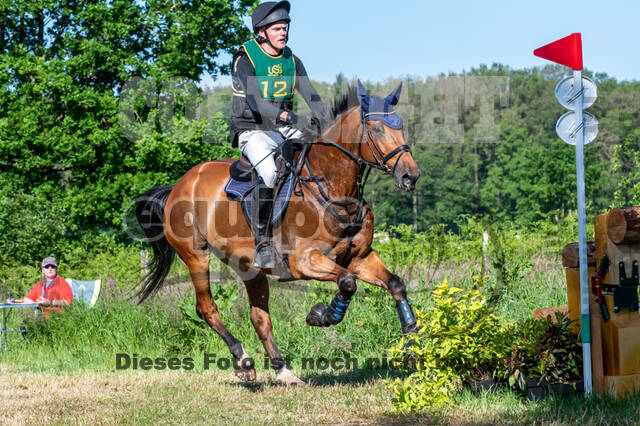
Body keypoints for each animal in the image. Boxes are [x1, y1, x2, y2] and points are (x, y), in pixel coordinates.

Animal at [134, 81, 421, 385]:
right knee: (206, 308)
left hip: (249, 268)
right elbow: (347, 283)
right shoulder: (305, 261)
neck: (332, 188)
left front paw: (412, 347)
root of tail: (179, 184)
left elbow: (395, 285)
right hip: (195, 255)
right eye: (376, 129)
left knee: (260, 317)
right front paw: (320, 315)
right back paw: (243, 360)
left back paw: (284, 371)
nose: (410, 176)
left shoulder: (359, 257)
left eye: (401, 126)